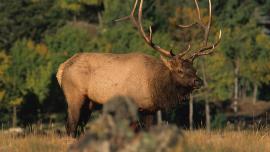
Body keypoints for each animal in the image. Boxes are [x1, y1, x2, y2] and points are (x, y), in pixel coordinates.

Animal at [56, 0, 221, 137]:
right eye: (180, 71)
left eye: (194, 69)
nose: (198, 81)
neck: (154, 86)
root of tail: (61, 68)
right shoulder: (131, 106)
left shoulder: (150, 110)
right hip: (74, 94)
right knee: (71, 125)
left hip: (89, 101)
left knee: (80, 125)